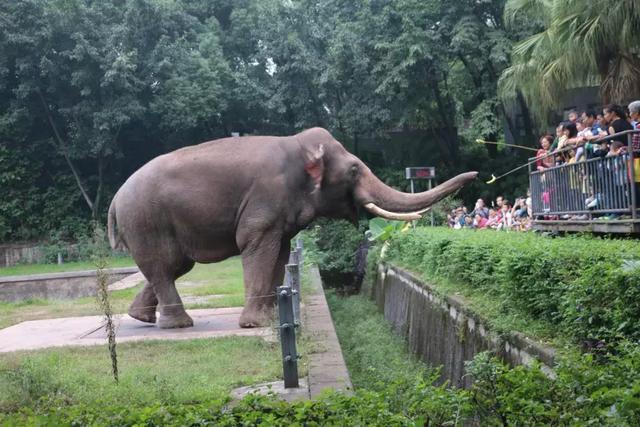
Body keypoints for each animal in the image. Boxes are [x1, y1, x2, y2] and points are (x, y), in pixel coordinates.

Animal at [107, 126, 478, 328]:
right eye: (354, 170)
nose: (475, 175)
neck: (299, 145)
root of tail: (114, 200)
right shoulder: (265, 199)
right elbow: (257, 245)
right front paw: (256, 324)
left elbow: (282, 252)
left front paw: (276, 316)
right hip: (147, 221)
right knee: (166, 266)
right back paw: (180, 324)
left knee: (173, 267)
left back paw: (142, 319)